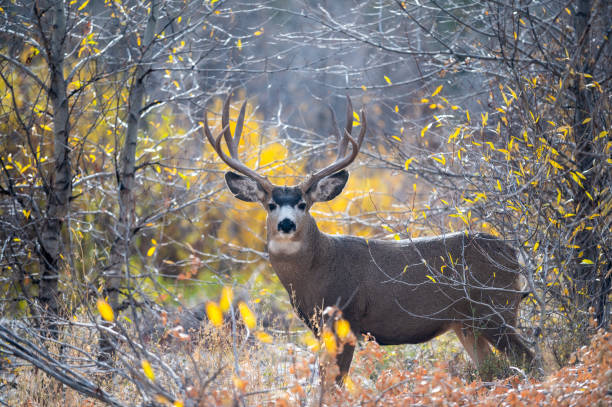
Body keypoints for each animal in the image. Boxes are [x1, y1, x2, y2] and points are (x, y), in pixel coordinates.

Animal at [203, 94, 532, 384]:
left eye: (303, 204)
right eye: (271, 204)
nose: (286, 223)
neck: (318, 269)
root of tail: (512, 252)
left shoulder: (347, 318)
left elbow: (332, 384)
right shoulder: (321, 328)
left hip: (496, 309)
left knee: (530, 358)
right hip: (468, 324)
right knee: (489, 367)